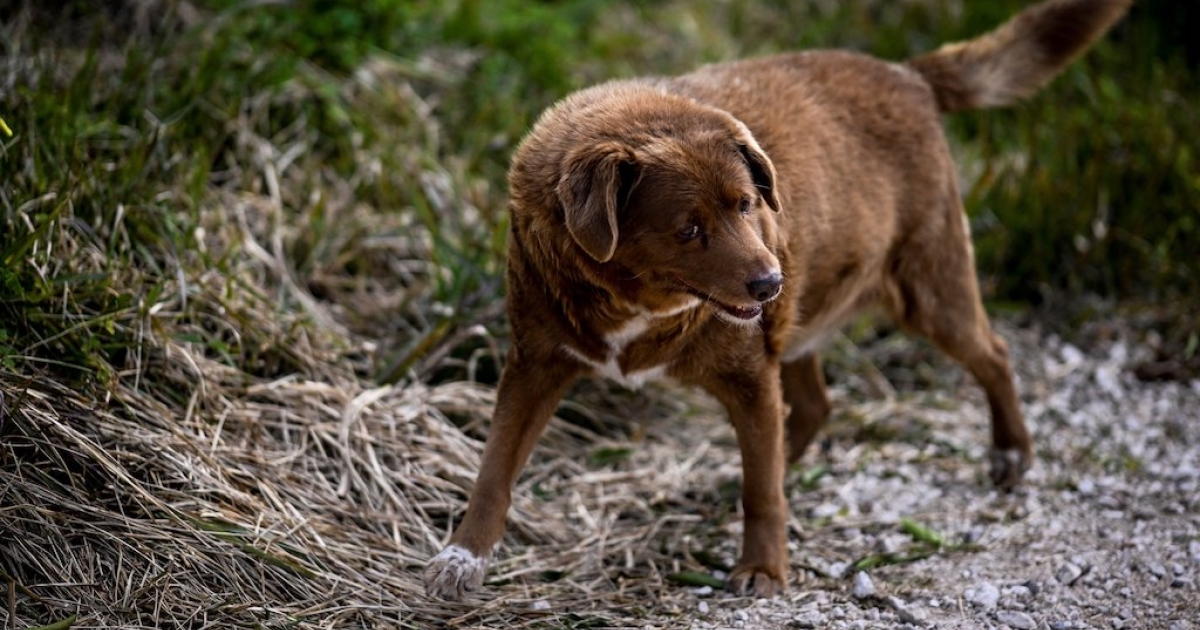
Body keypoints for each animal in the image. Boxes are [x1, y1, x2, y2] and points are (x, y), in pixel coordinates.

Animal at [427, 0, 1128, 600]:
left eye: (747, 204)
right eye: (688, 228)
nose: (770, 283)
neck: (636, 305)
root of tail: (908, 74)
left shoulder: (748, 373)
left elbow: (763, 492)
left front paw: (763, 568)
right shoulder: (535, 363)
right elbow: (494, 468)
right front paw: (462, 557)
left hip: (928, 288)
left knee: (992, 353)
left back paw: (1011, 453)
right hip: (804, 321)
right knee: (811, 408)